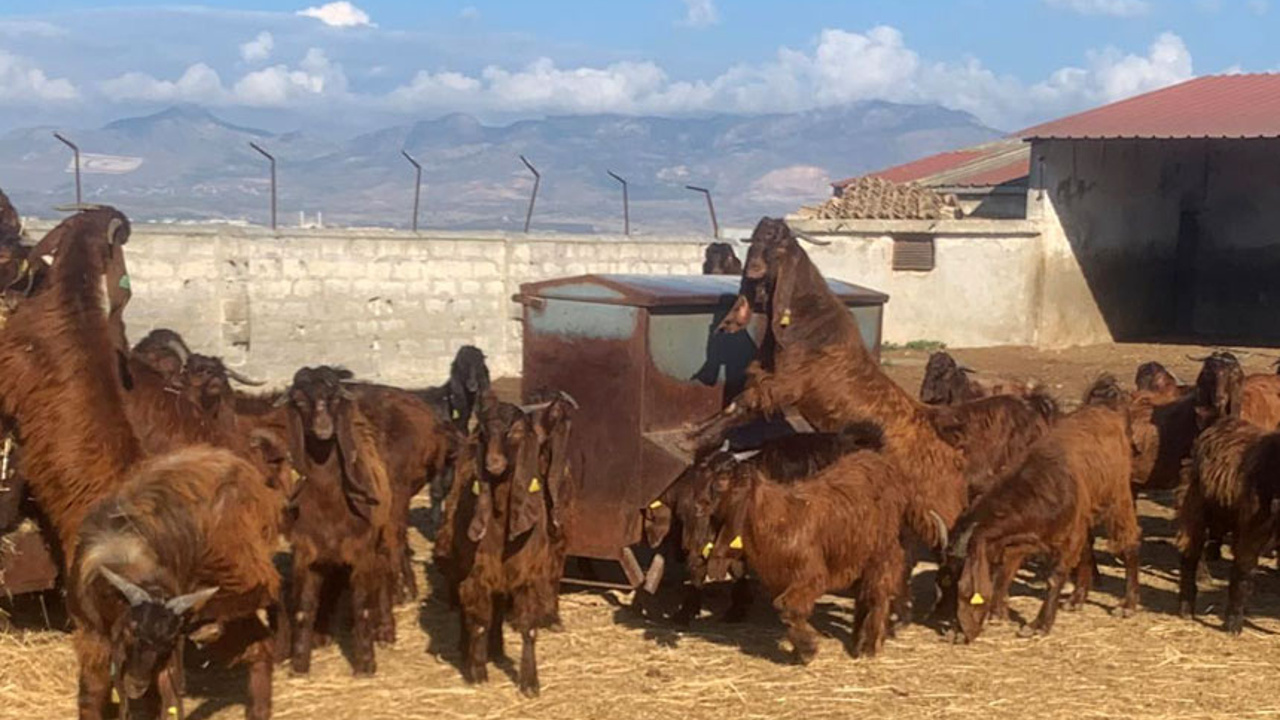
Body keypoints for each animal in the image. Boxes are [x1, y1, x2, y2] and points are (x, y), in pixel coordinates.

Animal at [280, 363, 394, 671]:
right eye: (300, 401)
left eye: (332, 399)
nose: (323, 428)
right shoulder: (306, 552)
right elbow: (304, 608)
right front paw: (299, 664)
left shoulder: (361, 549)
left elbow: (362, 605)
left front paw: (366, 665)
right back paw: (322, 634)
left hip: (383, 536)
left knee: (384, 576)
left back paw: (385, 629)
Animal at [942, 376, 1141, 638]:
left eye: (965, 587)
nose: (957, 629)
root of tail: (1105, 407)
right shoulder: (1023, 539)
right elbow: (1005, 570)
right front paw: (998, 612)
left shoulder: (1068, 535)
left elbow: (1054, 577)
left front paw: (1039, 624)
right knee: (1087, 550)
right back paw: (1077, 598)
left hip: (1117, 499)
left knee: (1128, 542)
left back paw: (1128, 604)